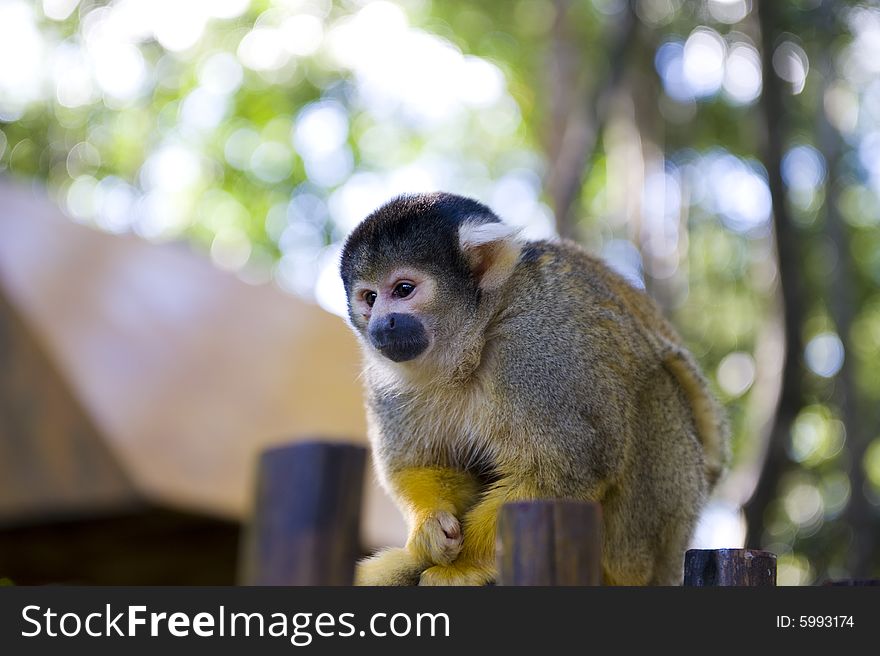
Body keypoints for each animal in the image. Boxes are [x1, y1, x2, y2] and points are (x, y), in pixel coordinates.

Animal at [338, 191, 728, 584]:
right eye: (370, 298)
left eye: (403, 289)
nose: (381, 324)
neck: (475, 342)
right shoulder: (383, 379)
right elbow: (417, 464)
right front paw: (429, 529)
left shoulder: (537, 347)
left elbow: (564, 471)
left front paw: (462, 566)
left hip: (656, 534)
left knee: (653, 386)